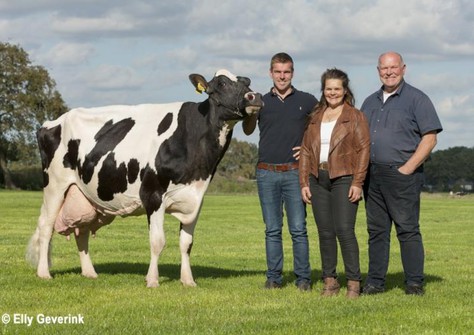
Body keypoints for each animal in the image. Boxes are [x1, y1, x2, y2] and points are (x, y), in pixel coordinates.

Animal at [25, 69, 262, 288]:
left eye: (247, 81)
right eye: (222, 83)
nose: (255, 96)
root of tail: (52, 122)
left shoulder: (196, 198)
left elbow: (186, 243)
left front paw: (188, 280)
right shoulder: (153, 194)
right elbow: (158, 241)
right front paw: (153, 280)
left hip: (84, 193)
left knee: (81, 231)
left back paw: (89, 272)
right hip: (55, 185)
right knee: (45, 226)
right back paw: (44, 273)